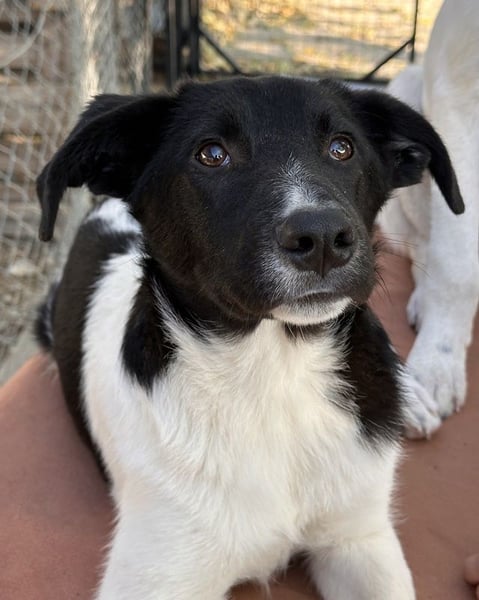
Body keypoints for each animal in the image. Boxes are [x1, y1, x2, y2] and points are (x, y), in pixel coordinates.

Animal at [35, 76, 463, 599]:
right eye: (211, 154)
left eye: (342, 148)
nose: (323, 238)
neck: (276, 375)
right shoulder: (156, 576)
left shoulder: (359, 538)